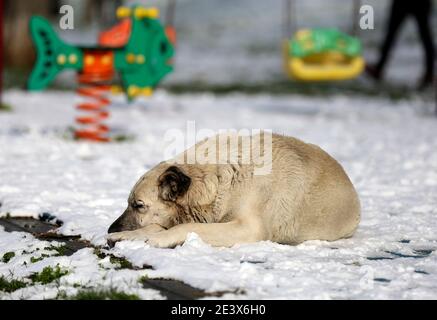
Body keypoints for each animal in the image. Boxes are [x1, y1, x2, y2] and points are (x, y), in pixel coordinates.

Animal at [107, 132, 360, 248]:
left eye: (138, 205)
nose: (110, 229)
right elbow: (158, 226)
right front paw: (127, 236)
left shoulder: (249, 228)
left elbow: (188, 226)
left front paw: (159, 238)